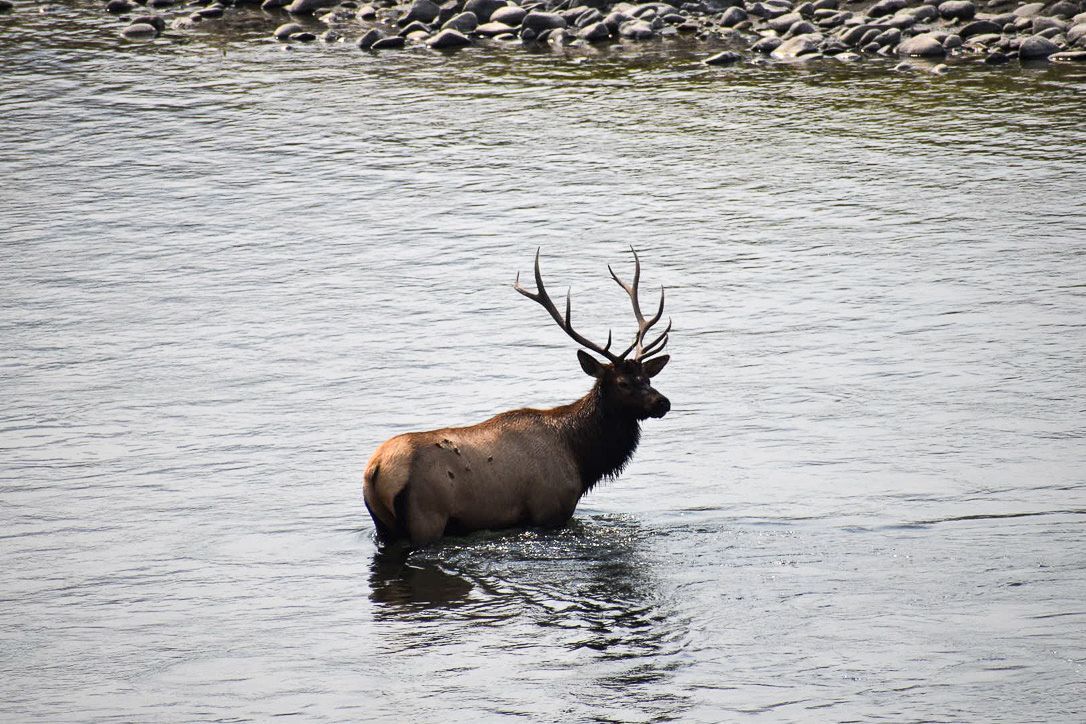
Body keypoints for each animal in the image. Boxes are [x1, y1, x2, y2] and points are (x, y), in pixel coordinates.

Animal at [363, 248, 672, 546]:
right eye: (622, 383)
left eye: (647, 378)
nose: (662, 402)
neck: (580, 456)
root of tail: (376, 470)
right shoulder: (550, 508)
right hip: (427, 516)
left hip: (385, 528)